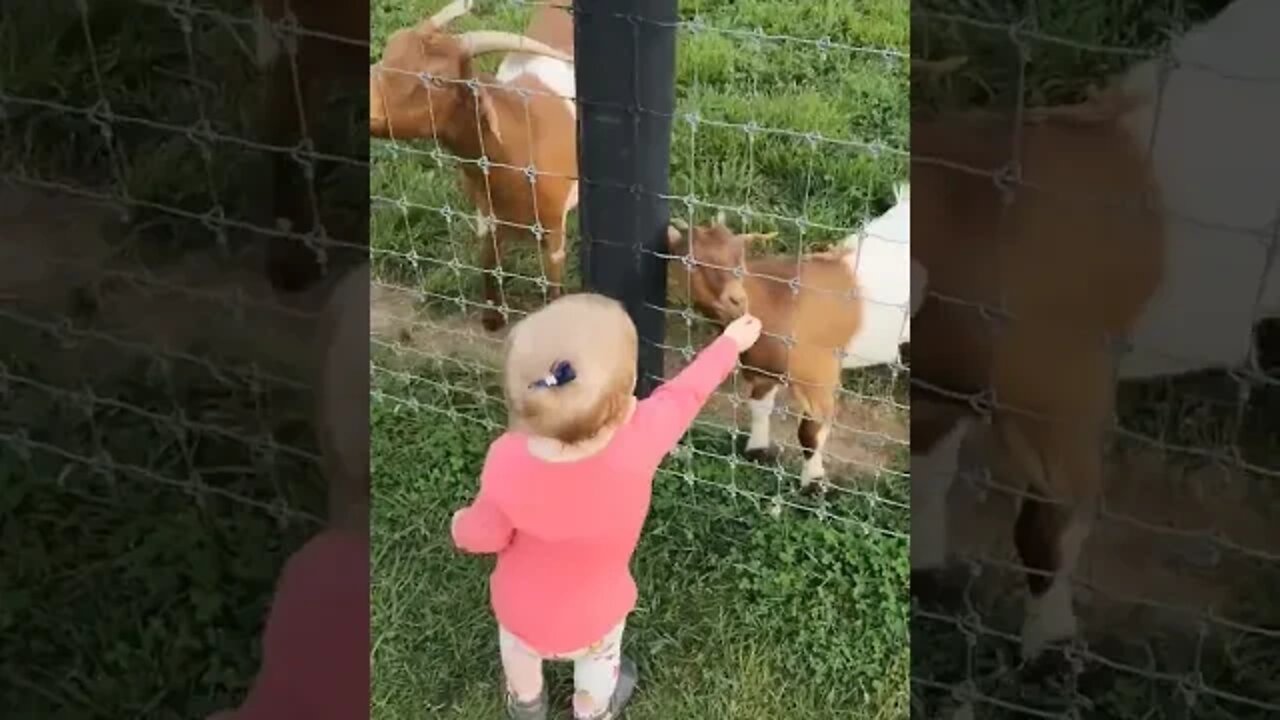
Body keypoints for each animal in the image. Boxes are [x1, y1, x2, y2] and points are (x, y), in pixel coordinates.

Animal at [371, 0, 581, 330]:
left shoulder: (553, 229)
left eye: (438, 79)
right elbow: (488, 261)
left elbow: (553, 285)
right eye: (389, 50)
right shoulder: (486, 213)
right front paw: (492, 318)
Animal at [660, 215, 870, 489]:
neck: (781, 301)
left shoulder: (818, 375)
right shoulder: (762, 368)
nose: (737, 300)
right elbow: (759, 406)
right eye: (691, 263)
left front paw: (814, 482)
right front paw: (757, 450)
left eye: (740, 258)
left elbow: (811, 430)